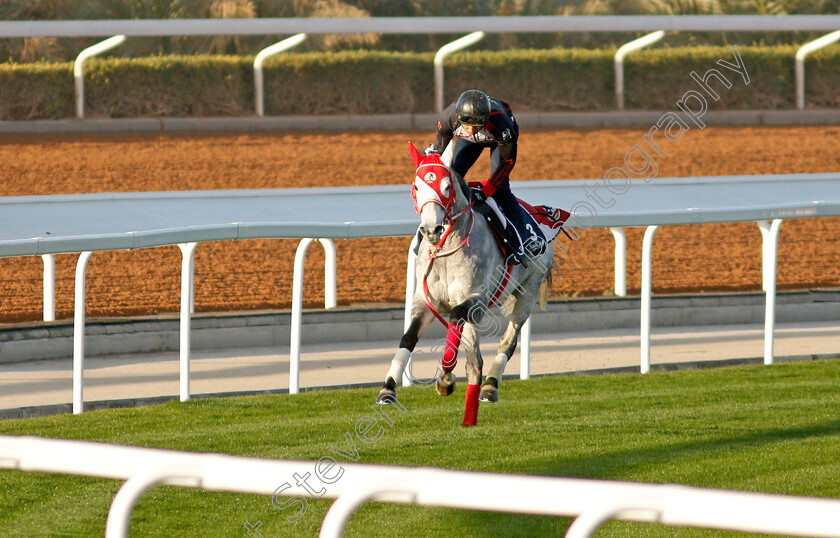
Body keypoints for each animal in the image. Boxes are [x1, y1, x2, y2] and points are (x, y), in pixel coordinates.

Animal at [378, 141, 564, 422]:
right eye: (416, 186)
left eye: (447, 187)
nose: (431, 230)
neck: (446, 252)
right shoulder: (426, 300)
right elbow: (408, 337)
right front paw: (388, 389)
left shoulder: (474, 299)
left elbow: (456, 318)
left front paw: (445, 378)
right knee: (474, 355)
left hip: (528, 291)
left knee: (508, 340)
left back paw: (489, 386)